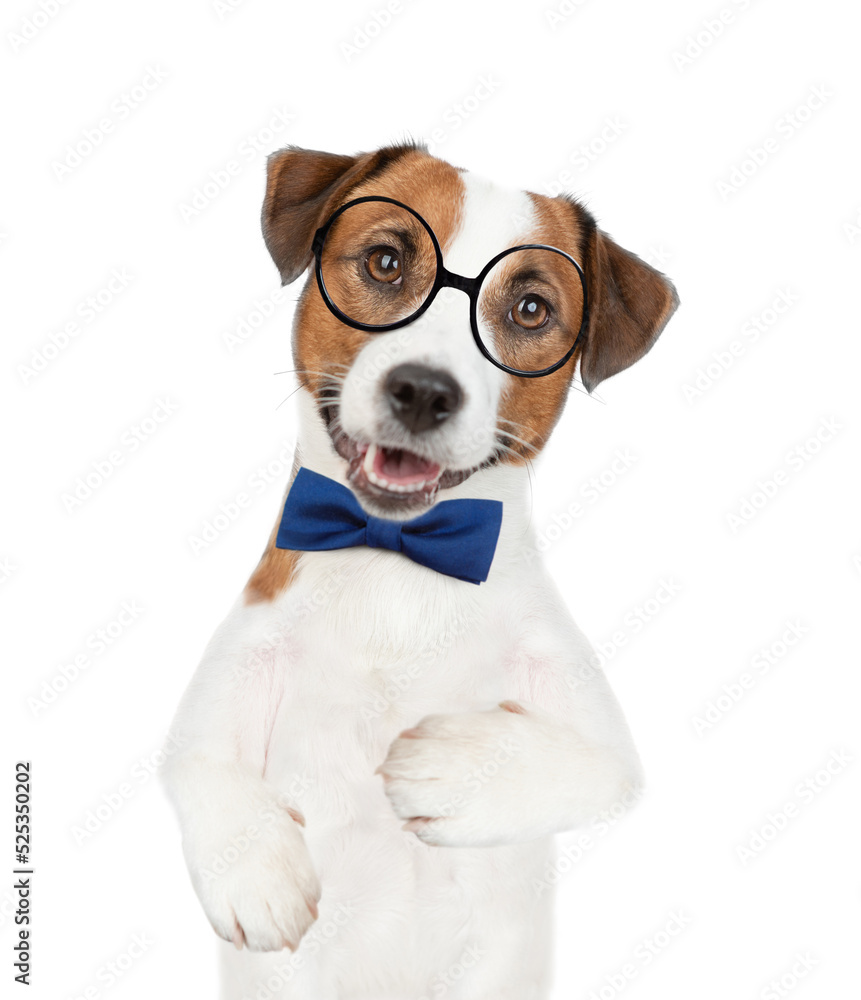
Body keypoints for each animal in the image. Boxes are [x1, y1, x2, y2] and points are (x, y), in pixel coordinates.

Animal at [161, 143, 680, 1000]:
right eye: (385, 261)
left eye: (529, 309)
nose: (423, 391)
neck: (399, 558)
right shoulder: (240, 656)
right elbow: (194, 757)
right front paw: (255, 875)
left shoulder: (599, 733)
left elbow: (601, 767)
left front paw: (448, 770)